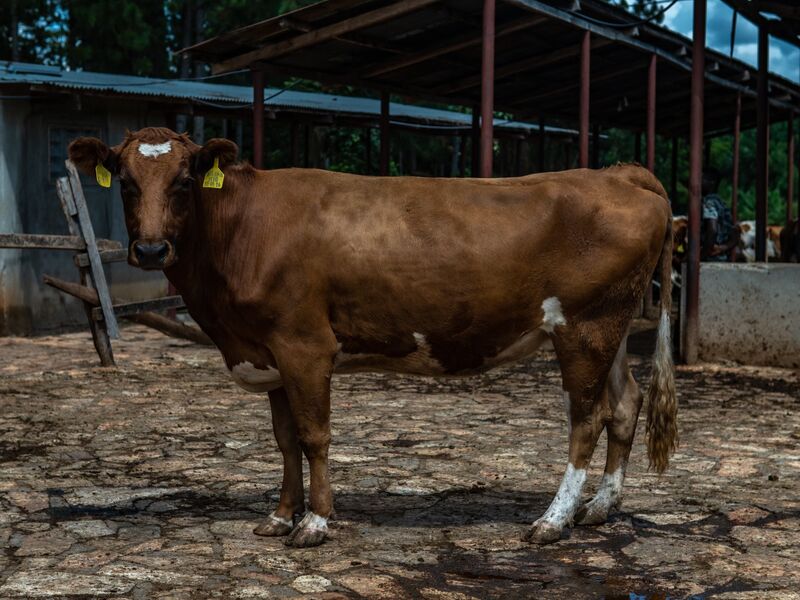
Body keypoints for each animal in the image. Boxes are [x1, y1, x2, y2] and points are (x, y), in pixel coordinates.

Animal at [68, 128, 677, 548]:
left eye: (185, 180)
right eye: (126, 183)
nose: (150, 250)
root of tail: (617, 173)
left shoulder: (304, 345)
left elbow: (314, 435)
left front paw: (315, 522)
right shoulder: (269, 353)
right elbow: (284, 440)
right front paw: (278, 516)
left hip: (585, 327)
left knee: (588, 418)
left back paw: (553, 520)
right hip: (613, 327)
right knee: (625, 403)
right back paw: (598, 508)